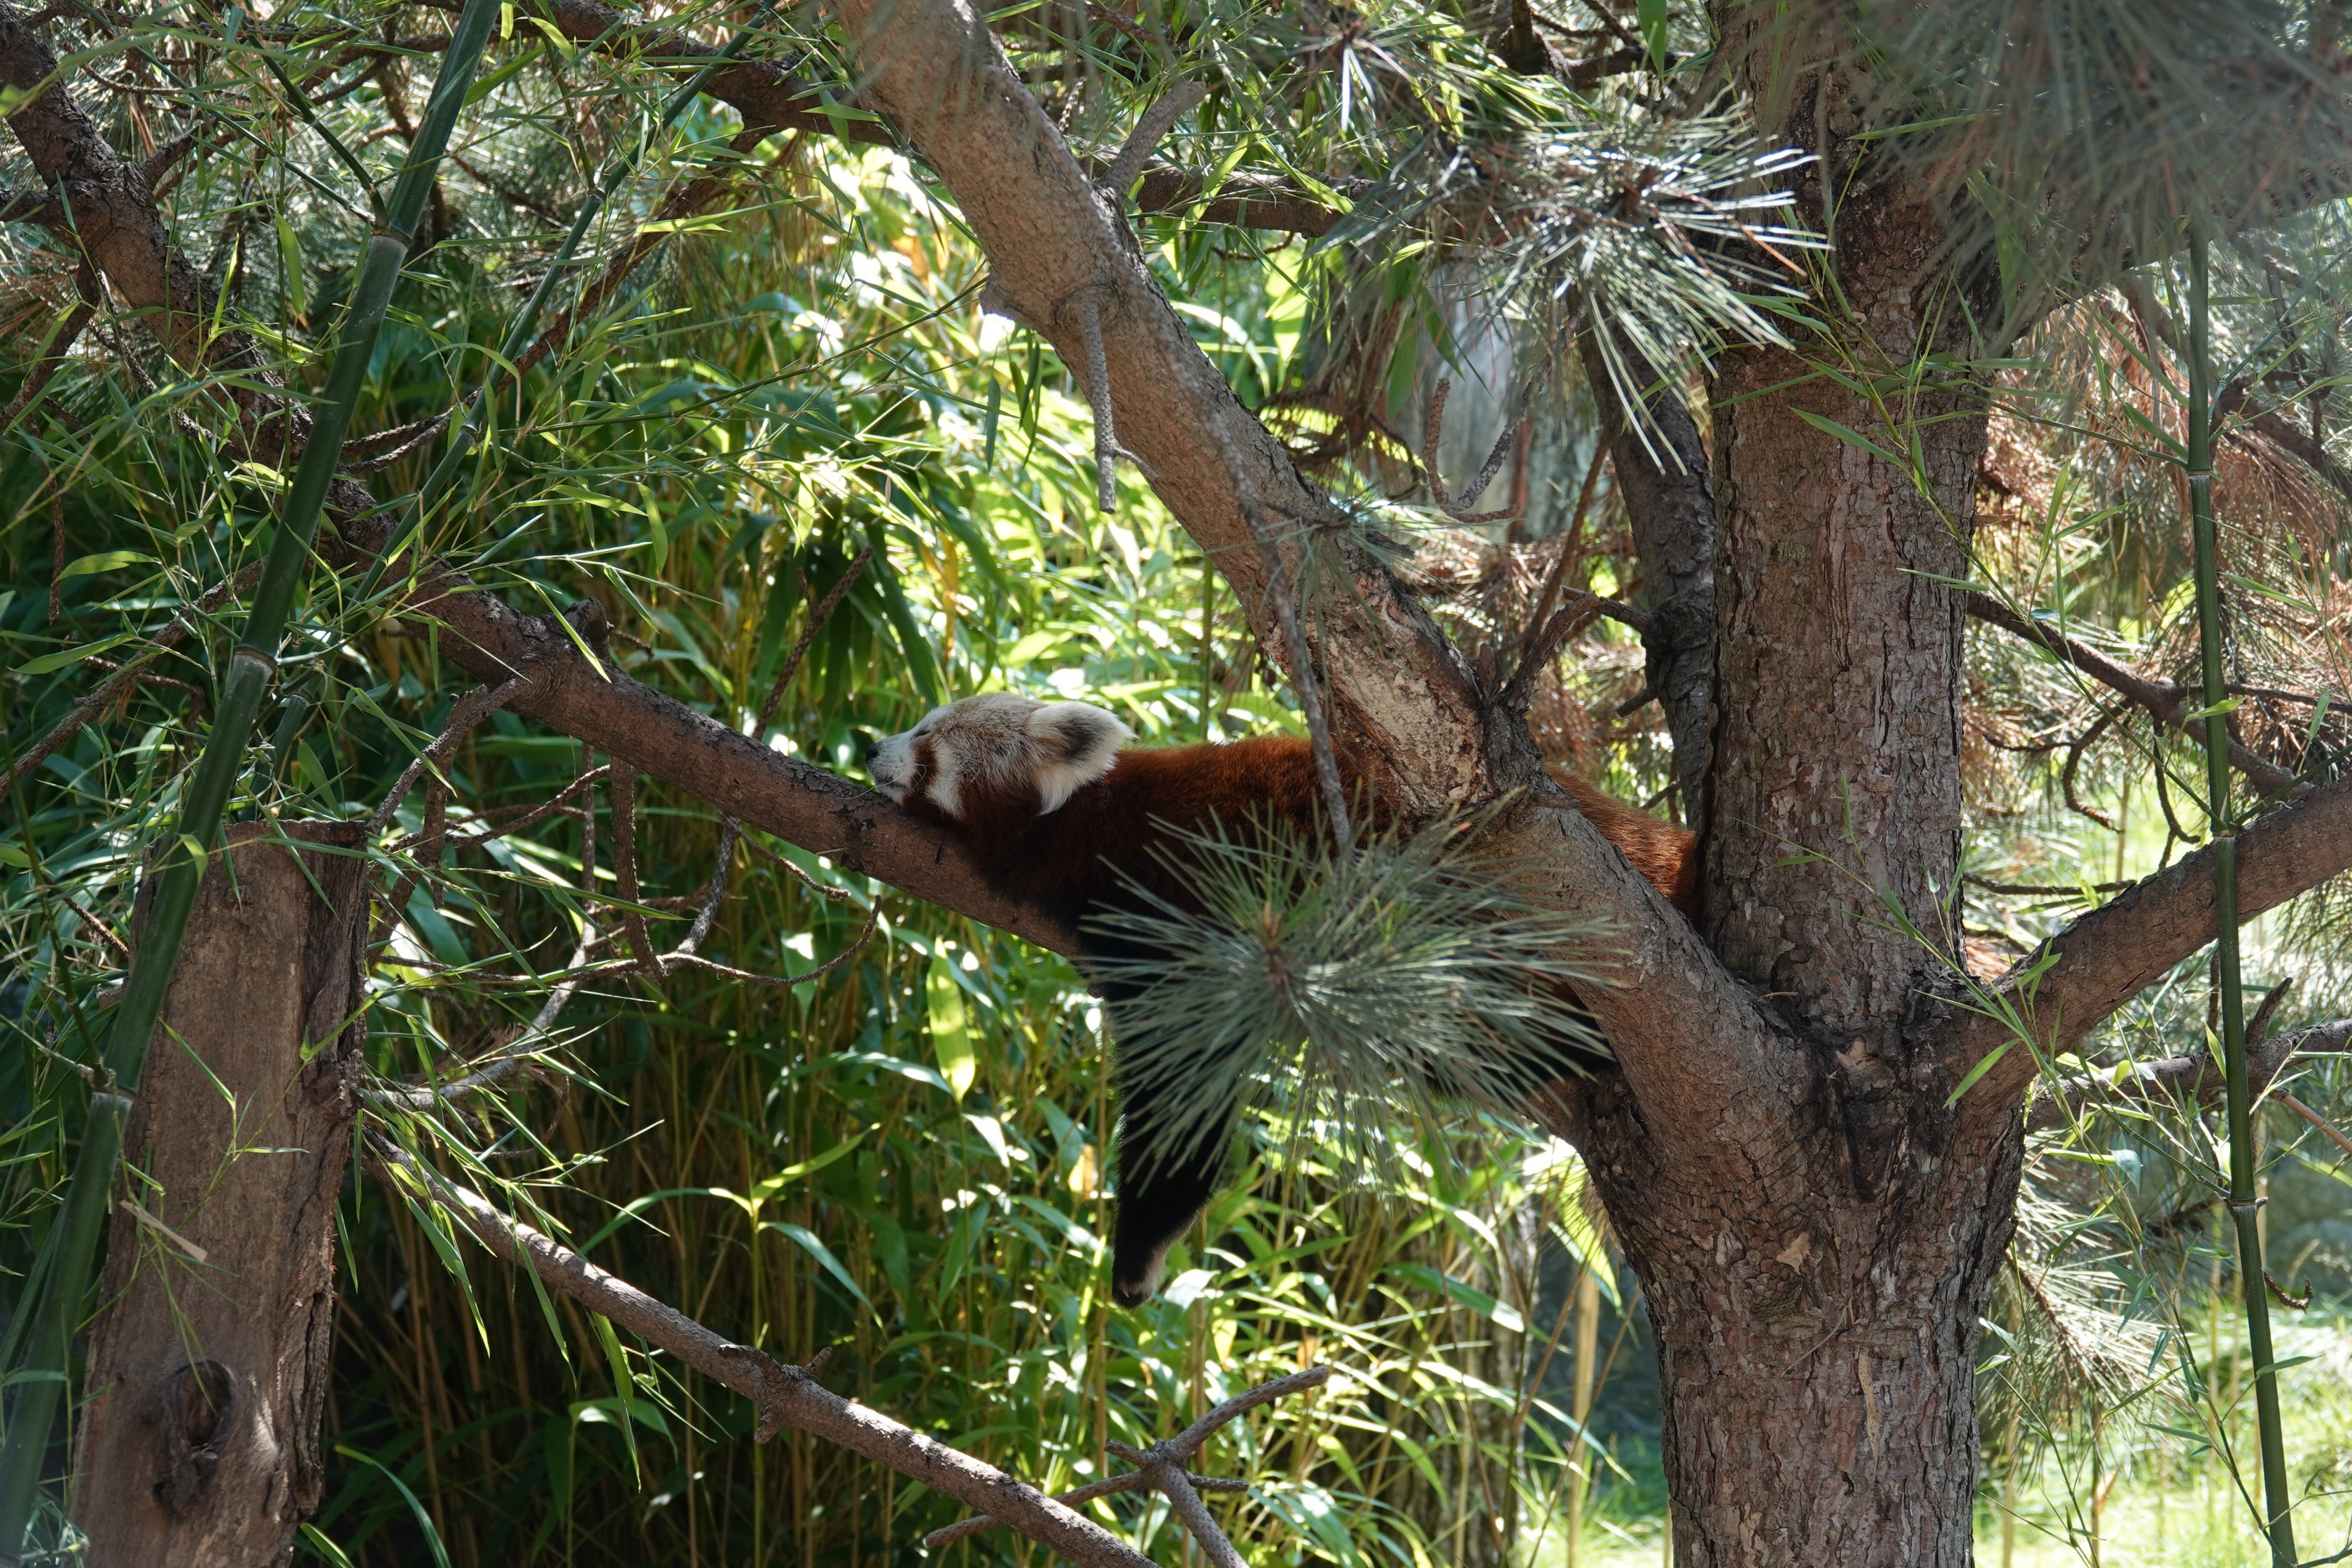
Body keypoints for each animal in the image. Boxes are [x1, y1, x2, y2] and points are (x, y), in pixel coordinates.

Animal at [866, 692, 1696, 1306]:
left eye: (929, 735)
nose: (871, 747)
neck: (1091, 821)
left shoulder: (1180, 906)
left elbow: (1184, 1092)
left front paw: (1139, 1251)